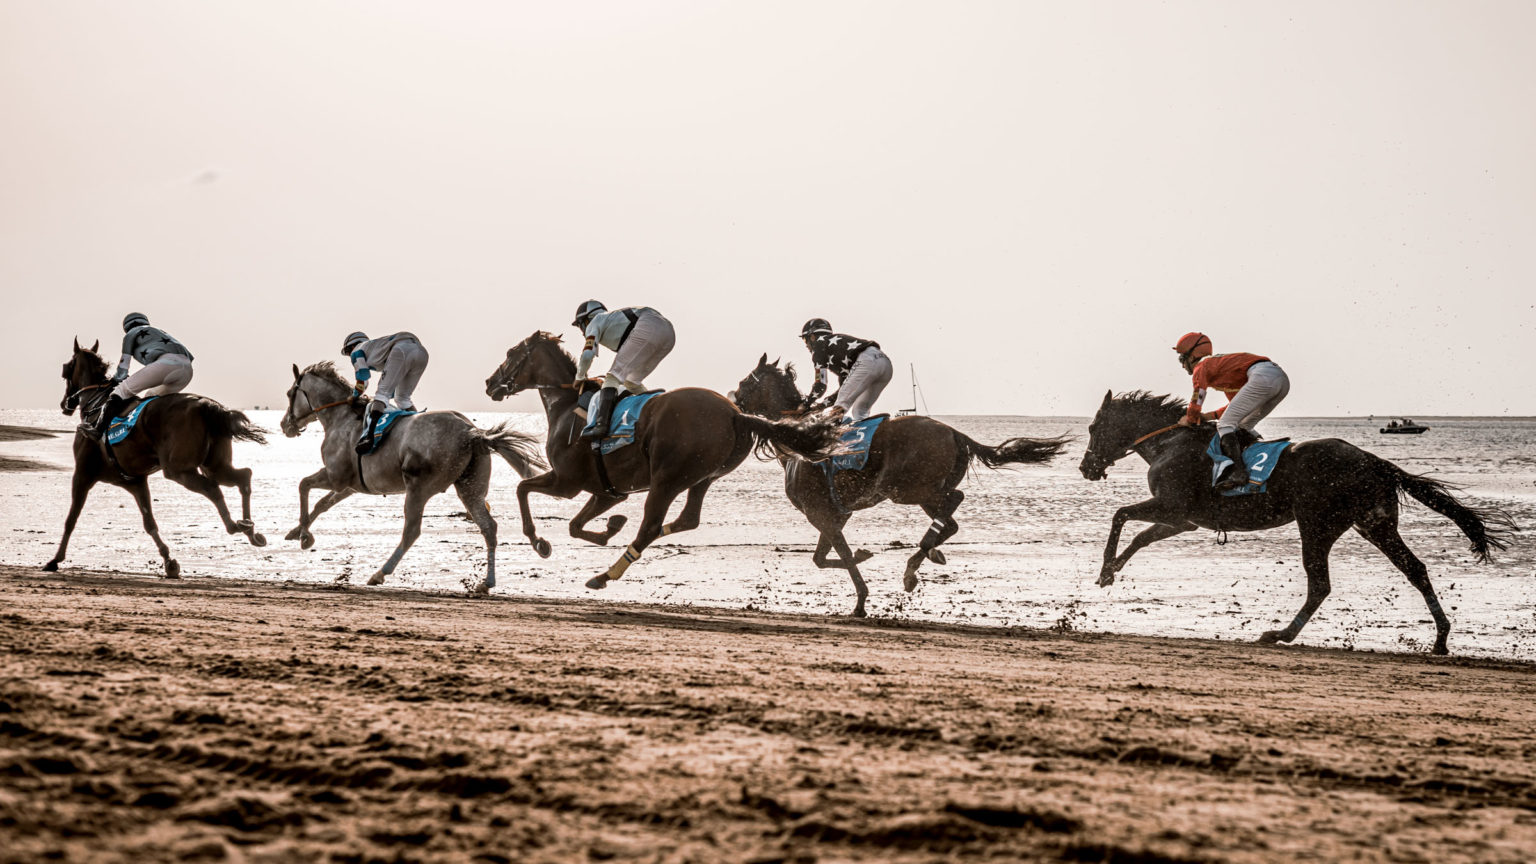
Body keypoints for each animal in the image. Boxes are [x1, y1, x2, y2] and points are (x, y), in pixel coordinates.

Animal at [47, 338, 268, 578]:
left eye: (66, 369)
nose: (65, 403)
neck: (96, 407)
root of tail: (206, 405)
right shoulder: (135, 482)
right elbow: (149, 523)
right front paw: (169, 561)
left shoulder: (82, 475)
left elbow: (71, 519)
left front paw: (55, 559)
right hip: (215, 465)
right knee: (242, 476)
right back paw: (250, 529)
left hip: (178, 469)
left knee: (212, 488)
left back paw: (234, 525)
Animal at [280, 361, 546, 592]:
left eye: (289, 393)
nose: (285, 425)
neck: (341, 417)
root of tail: (472, 433)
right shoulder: (350, 485)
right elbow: (321, 504)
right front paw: (298, 531)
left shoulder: (335, 477)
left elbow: (304, 486)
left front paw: (304, 535)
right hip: (469, 488)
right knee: (488, 527)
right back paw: (486, 583)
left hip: (418, 488)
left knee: (411, 531)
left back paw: (380, 573)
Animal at [483, 331, 849, 590]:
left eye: (511, 354)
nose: (490, 383)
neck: (567, 402)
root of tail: (736, 414)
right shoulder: (607, 491)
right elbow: (575, 525)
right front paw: (610, 527)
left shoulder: (566, 482)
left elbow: (521, 489)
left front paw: (538, 541)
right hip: (703, 477)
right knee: (686, 519)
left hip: (667, 479)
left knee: (650, 526)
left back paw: (605, 575)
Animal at [730, 355, 1071, 616]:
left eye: (746, 382)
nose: (733, 400)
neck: (798, 439)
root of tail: (956, 434)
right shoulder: (838, 513)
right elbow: (822, 558)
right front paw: (865, 556)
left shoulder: (819, 512)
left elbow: (838, 555)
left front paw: (861, 601)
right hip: (922, 493)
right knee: (950, 522)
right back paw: (928, 555)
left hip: (909, 489)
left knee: (955, 499)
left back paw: (915, 563)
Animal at [1078, 390, 1517, 654]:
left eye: (1094, 427)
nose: (1086, 467)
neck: (1171, 442)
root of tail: (1374, 461)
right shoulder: (1184, 519)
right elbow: (1141, 537)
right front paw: (1112, 571)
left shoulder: (1171, 507)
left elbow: (1120, 516)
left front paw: (1104, 569)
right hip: (1374, 525)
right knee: (1416, 569)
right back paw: (1440, 639)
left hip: (1317, 524)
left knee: (1320, 583)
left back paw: (1280, 634)